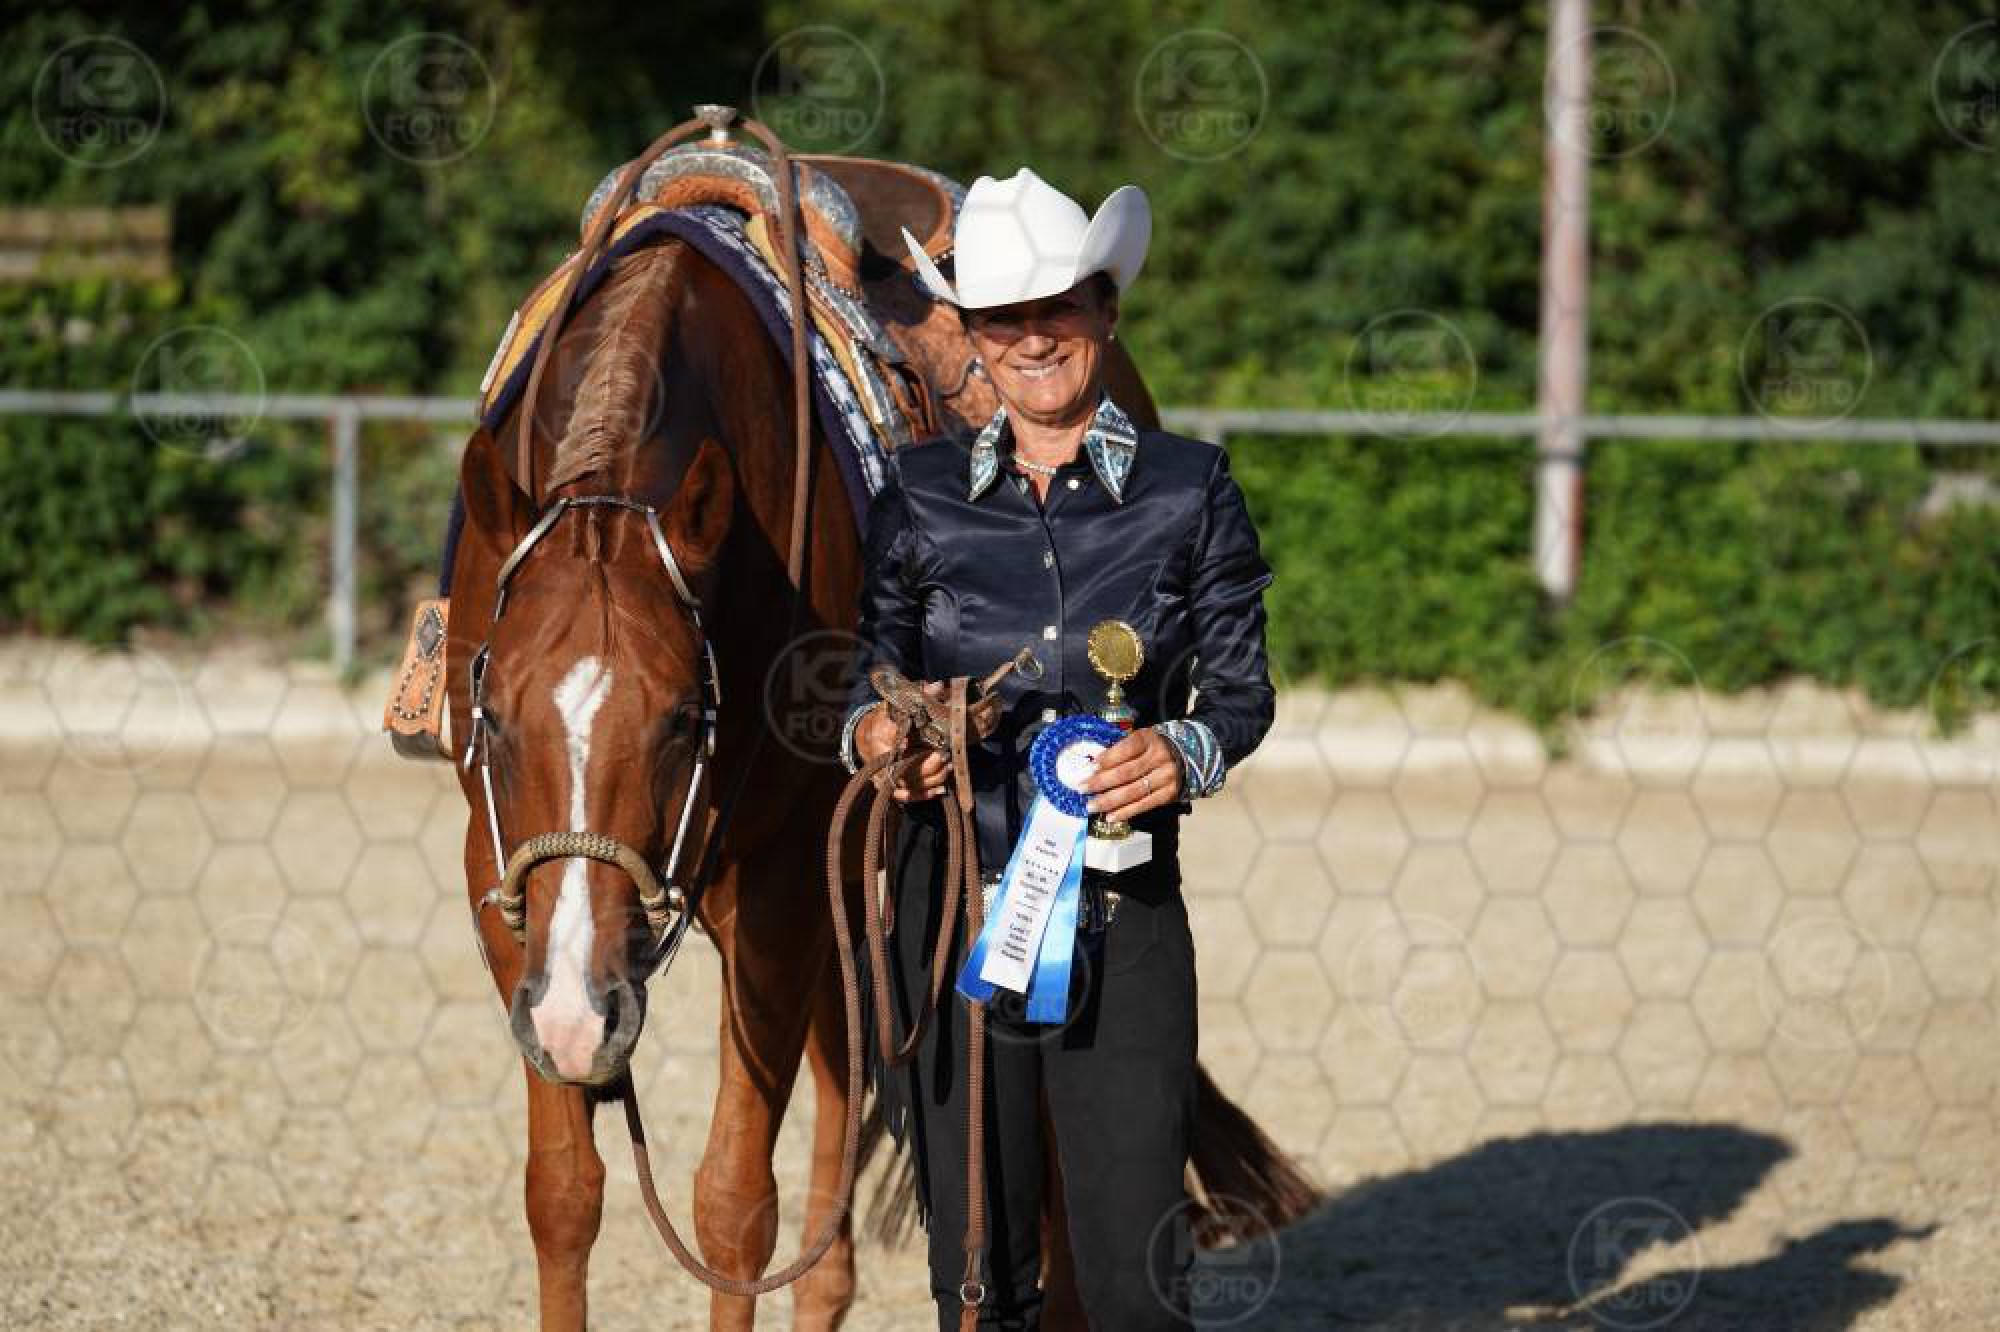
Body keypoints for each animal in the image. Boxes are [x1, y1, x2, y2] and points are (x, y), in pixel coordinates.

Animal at [442, 125, 1315, 1330]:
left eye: (681, 718)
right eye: (494, 714)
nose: (582, 1012)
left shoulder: (775, 892)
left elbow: (732, 1208)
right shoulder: (503, 880)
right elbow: (563, 1195)